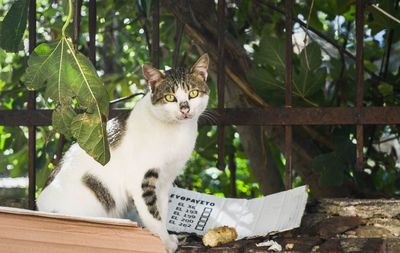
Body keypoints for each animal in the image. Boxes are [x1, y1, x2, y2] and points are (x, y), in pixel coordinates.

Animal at [37, 52, 211, 252]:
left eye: (193, 93)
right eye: (169, 97)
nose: (185, 108)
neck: (177, 132)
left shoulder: (165, 181)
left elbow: (162, 210)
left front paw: (167, 237)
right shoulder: (141, 180)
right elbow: (152, 213)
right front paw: (164, 242)